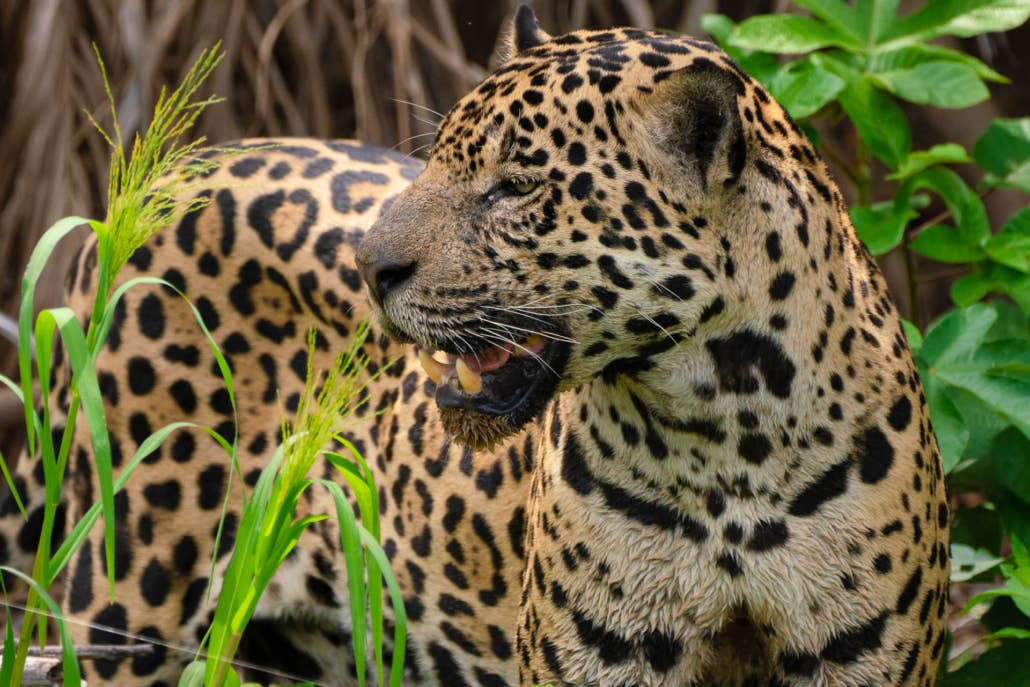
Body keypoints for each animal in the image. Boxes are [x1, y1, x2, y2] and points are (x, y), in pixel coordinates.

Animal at [0, 5, 949, 687]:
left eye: (515, 187)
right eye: (440, 162)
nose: (370, 266)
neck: (727, 433)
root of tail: (159, 177)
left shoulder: (863, 658)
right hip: (122, 603)